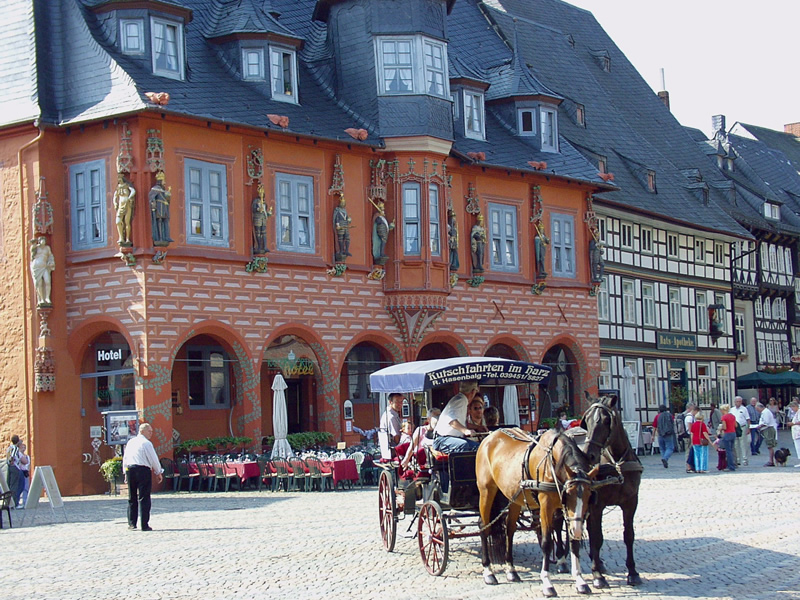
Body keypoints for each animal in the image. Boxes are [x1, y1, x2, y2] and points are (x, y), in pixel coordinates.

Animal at [476, 426, 600, 596]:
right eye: (568, 494)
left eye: (589, 495)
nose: (577, 530)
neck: (553, 464)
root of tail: (489, 437)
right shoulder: (546, 505)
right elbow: (547, 542)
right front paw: (547, 583)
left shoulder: (567, 512)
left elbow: (573, 542)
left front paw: (580, 581)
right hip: (486, 491)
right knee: (484, 526)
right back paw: (488, 571)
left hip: (514, 496)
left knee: (510, 529)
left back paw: (511, 570)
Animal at [580, 396, 644, 588]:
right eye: (586, 421)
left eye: (606, 420)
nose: (589, 455)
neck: (616, 464)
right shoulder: (597, 506)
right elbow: (597, 537)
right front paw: (597, 576)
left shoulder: (631, 502)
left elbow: (629, 535)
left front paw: (632, 572)